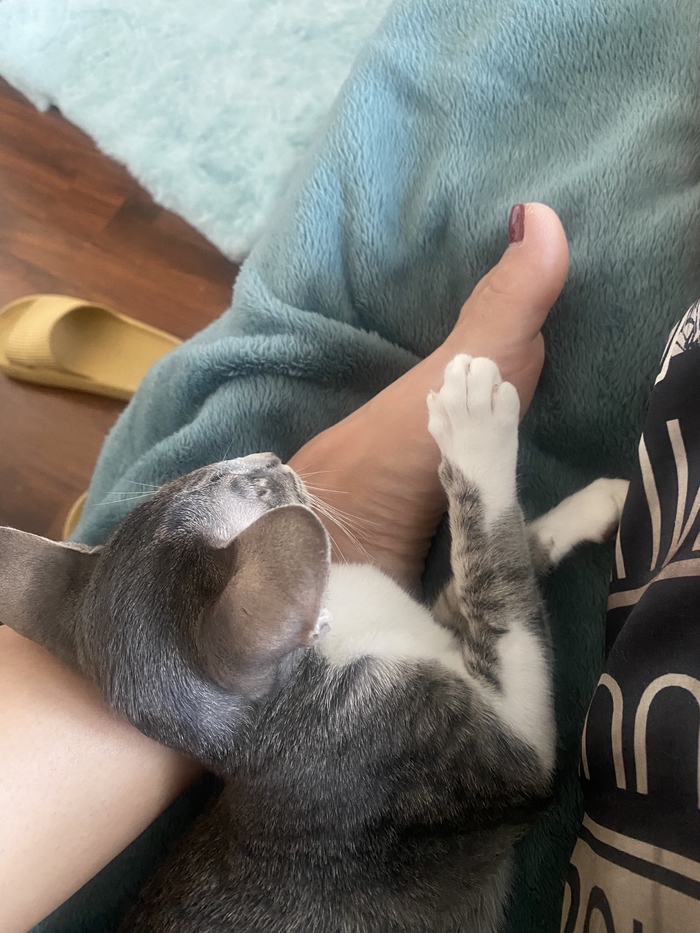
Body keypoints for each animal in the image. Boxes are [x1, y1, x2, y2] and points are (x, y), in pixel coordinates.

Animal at [0, 355, 627, 933]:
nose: (271, 459)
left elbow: (488, 566)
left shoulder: (436, 628)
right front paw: (476, 425)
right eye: (251, 487)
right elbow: (495, 569)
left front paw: (591, 507)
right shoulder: (504, 749)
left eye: (207, 471)